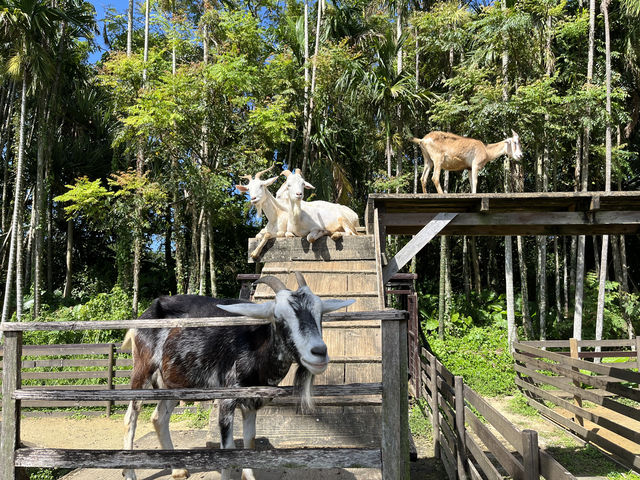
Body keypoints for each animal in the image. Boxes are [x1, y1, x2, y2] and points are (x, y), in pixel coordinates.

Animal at [122, 272, 352, 480]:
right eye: (278, 317)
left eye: (320, 314)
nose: (319, 352)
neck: (254, 345)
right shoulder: (226, 399)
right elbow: (229, 449)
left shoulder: (252, 403)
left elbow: (249, 442)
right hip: (142, 370)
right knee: (130, 418)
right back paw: (130, 473)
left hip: (174, 383)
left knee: (158, 418)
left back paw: (178, 470)